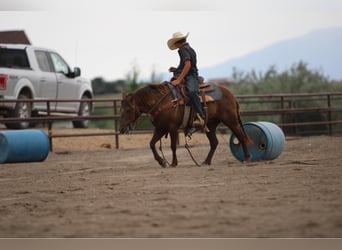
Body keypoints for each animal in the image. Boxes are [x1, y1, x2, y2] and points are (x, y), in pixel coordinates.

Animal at [119, 82, 251, 168]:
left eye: (128, 110)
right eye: (121, 109)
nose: (121, 129)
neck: (161, 102)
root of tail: (231, 95)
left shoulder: (172, 128)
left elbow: (173, 146)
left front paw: (173, 163)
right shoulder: (160, 128)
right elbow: (151, 144)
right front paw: (162, 162)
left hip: (231, 121)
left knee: (241, 137)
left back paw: (247, 158)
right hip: (211, 125)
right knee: (214, 142)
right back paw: (206, 162)